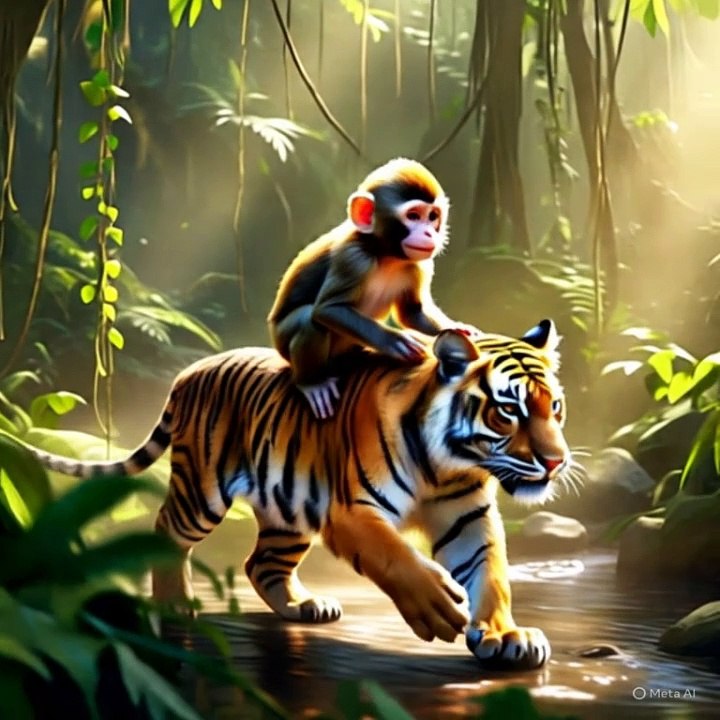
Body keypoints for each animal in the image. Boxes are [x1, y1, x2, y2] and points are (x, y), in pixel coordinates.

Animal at [24, 318, 574, 670]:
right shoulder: (351, 511)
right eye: (508, 411)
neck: (447, 464)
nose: (556, 461)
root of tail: (191, 369)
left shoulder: (467, 517)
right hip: (202, 492)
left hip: (288, 508)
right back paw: (175, 605)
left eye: (555, 408)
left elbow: (492, 574)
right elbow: (395, 556)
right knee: (167, 530)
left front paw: (507, 636)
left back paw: (303, 606)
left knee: (261, 563)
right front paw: (437, 604)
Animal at [268, 157, 479, 419]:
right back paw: (312, 383)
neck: (386, 255)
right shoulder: (353, 258)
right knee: (308, 319)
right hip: (282, 341)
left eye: (432, 216)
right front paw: (395, 341)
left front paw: (457, 328)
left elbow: (412, 312)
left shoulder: (418, 266)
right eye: (413, 215)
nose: (430, 233)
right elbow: (328, 309)